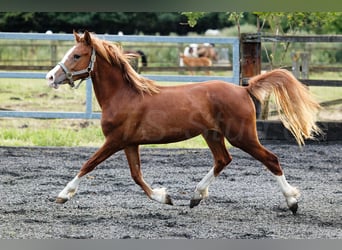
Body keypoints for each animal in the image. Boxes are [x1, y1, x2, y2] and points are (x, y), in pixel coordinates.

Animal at [44, 30, 320, 215]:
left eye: (77, 55)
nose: (50, 77)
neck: (124, 96)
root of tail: (244, 90)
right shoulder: (130, 143)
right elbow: (136, 175)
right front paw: (164, 196)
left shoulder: (114, 141)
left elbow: (88, 165)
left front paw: (62, 195)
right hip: (212, 134)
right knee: (223, 160)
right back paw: (196, 196)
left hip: (242, 136)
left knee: (270, 159)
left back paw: (292, 202)